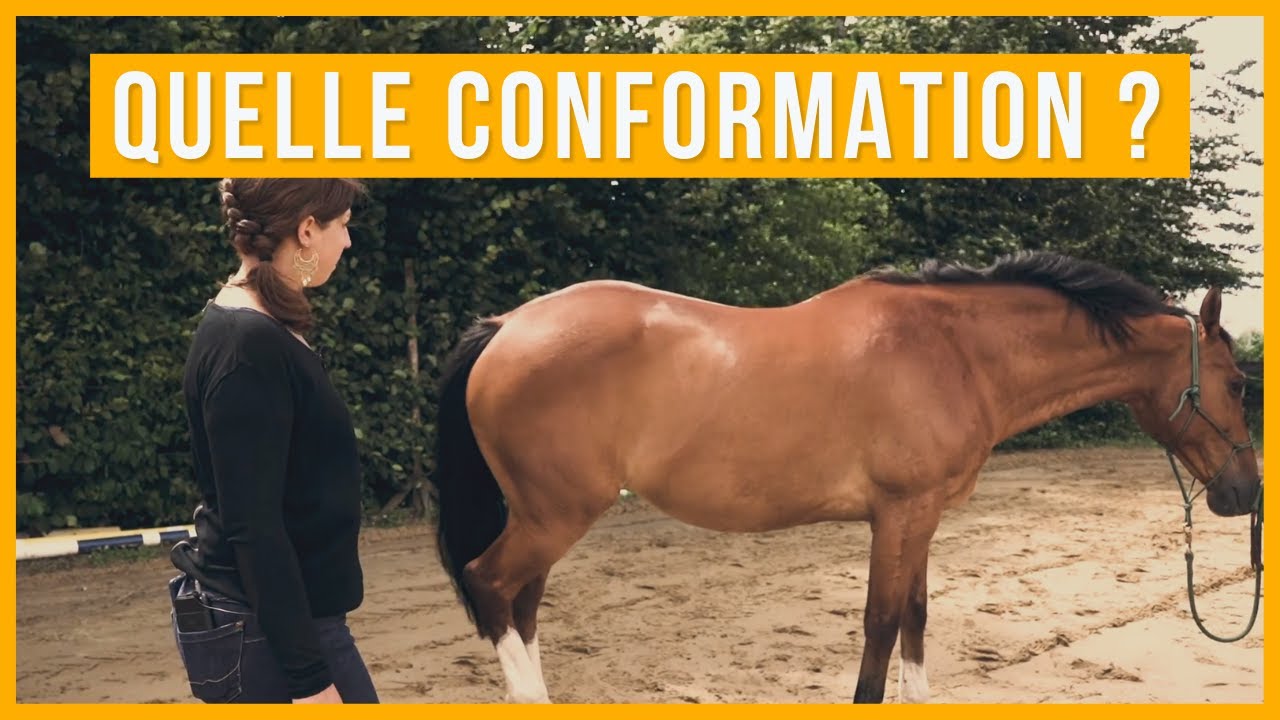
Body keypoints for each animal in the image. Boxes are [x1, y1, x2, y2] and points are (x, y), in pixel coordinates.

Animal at [427, 250, 1259, 704]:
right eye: (1238, 384)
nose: (1246, 494)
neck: (953, 352)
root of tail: (507, 325)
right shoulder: (898, 515)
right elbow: (882, 626)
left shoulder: (923, 518)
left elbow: (916, 622)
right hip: (554, 515)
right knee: (492, 586)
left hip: (542, 517)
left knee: (522, 606)